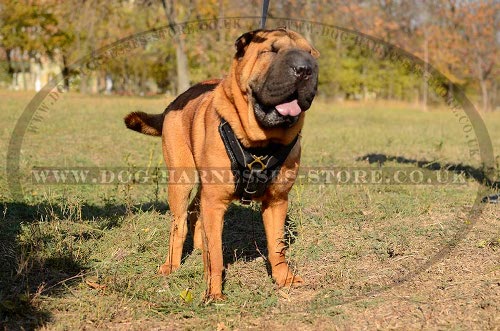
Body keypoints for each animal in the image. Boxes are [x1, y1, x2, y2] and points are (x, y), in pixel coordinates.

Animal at [125, 27, 320, 300]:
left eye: (311, 53)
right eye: (270, 51)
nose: (304, 68)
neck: (260, 144)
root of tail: (174, 102)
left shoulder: (277, 201)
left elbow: (277, 247)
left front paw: (285, 279)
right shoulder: (215, 202)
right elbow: (216, 255)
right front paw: (213, 293)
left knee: (195, 212)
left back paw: (198, 247)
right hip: (181, 180)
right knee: (179, 225)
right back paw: (172, 264)